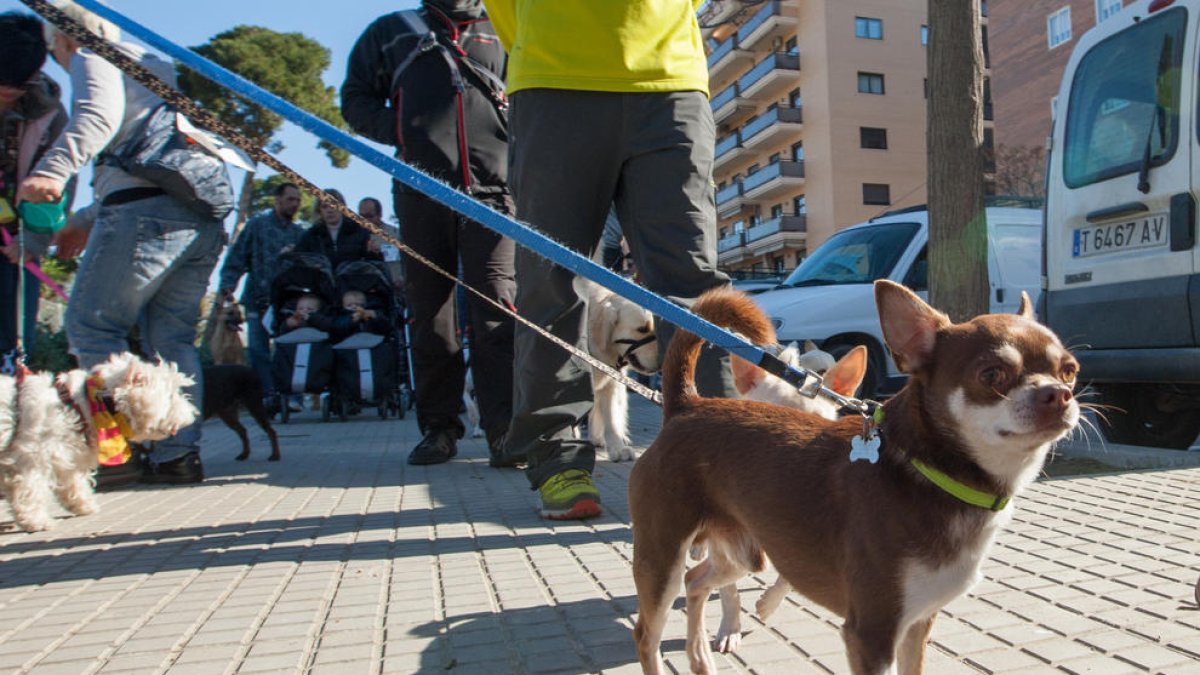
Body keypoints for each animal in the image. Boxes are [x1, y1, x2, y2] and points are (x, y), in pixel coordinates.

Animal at [0, 353, 196, 530]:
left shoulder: (66, 456)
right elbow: (30, 491)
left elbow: (74, 482)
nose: (192, 416)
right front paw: (37, 521)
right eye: (171, 396)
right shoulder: (30, 459)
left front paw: (83, 505)